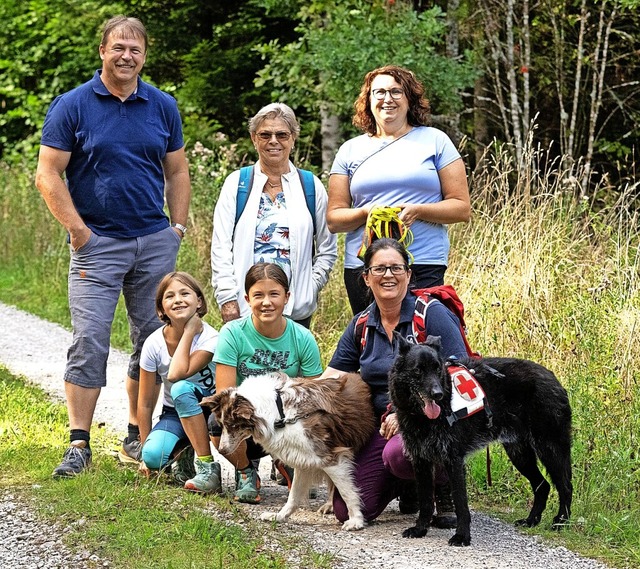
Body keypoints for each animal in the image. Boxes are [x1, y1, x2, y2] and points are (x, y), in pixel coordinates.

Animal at [388, 332, 572, 544]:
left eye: (437, 368)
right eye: (418, 370)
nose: (438, 394)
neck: (422, 417)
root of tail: (553, 377)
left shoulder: (454, 461)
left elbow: (460, 503)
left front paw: (462, 535)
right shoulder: (421, 462)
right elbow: (426, 501)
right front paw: (420, 529)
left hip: (551, 450)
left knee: (565, 486)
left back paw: (561, 521)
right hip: (520, 455)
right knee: (543, 486)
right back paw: (531, 520)